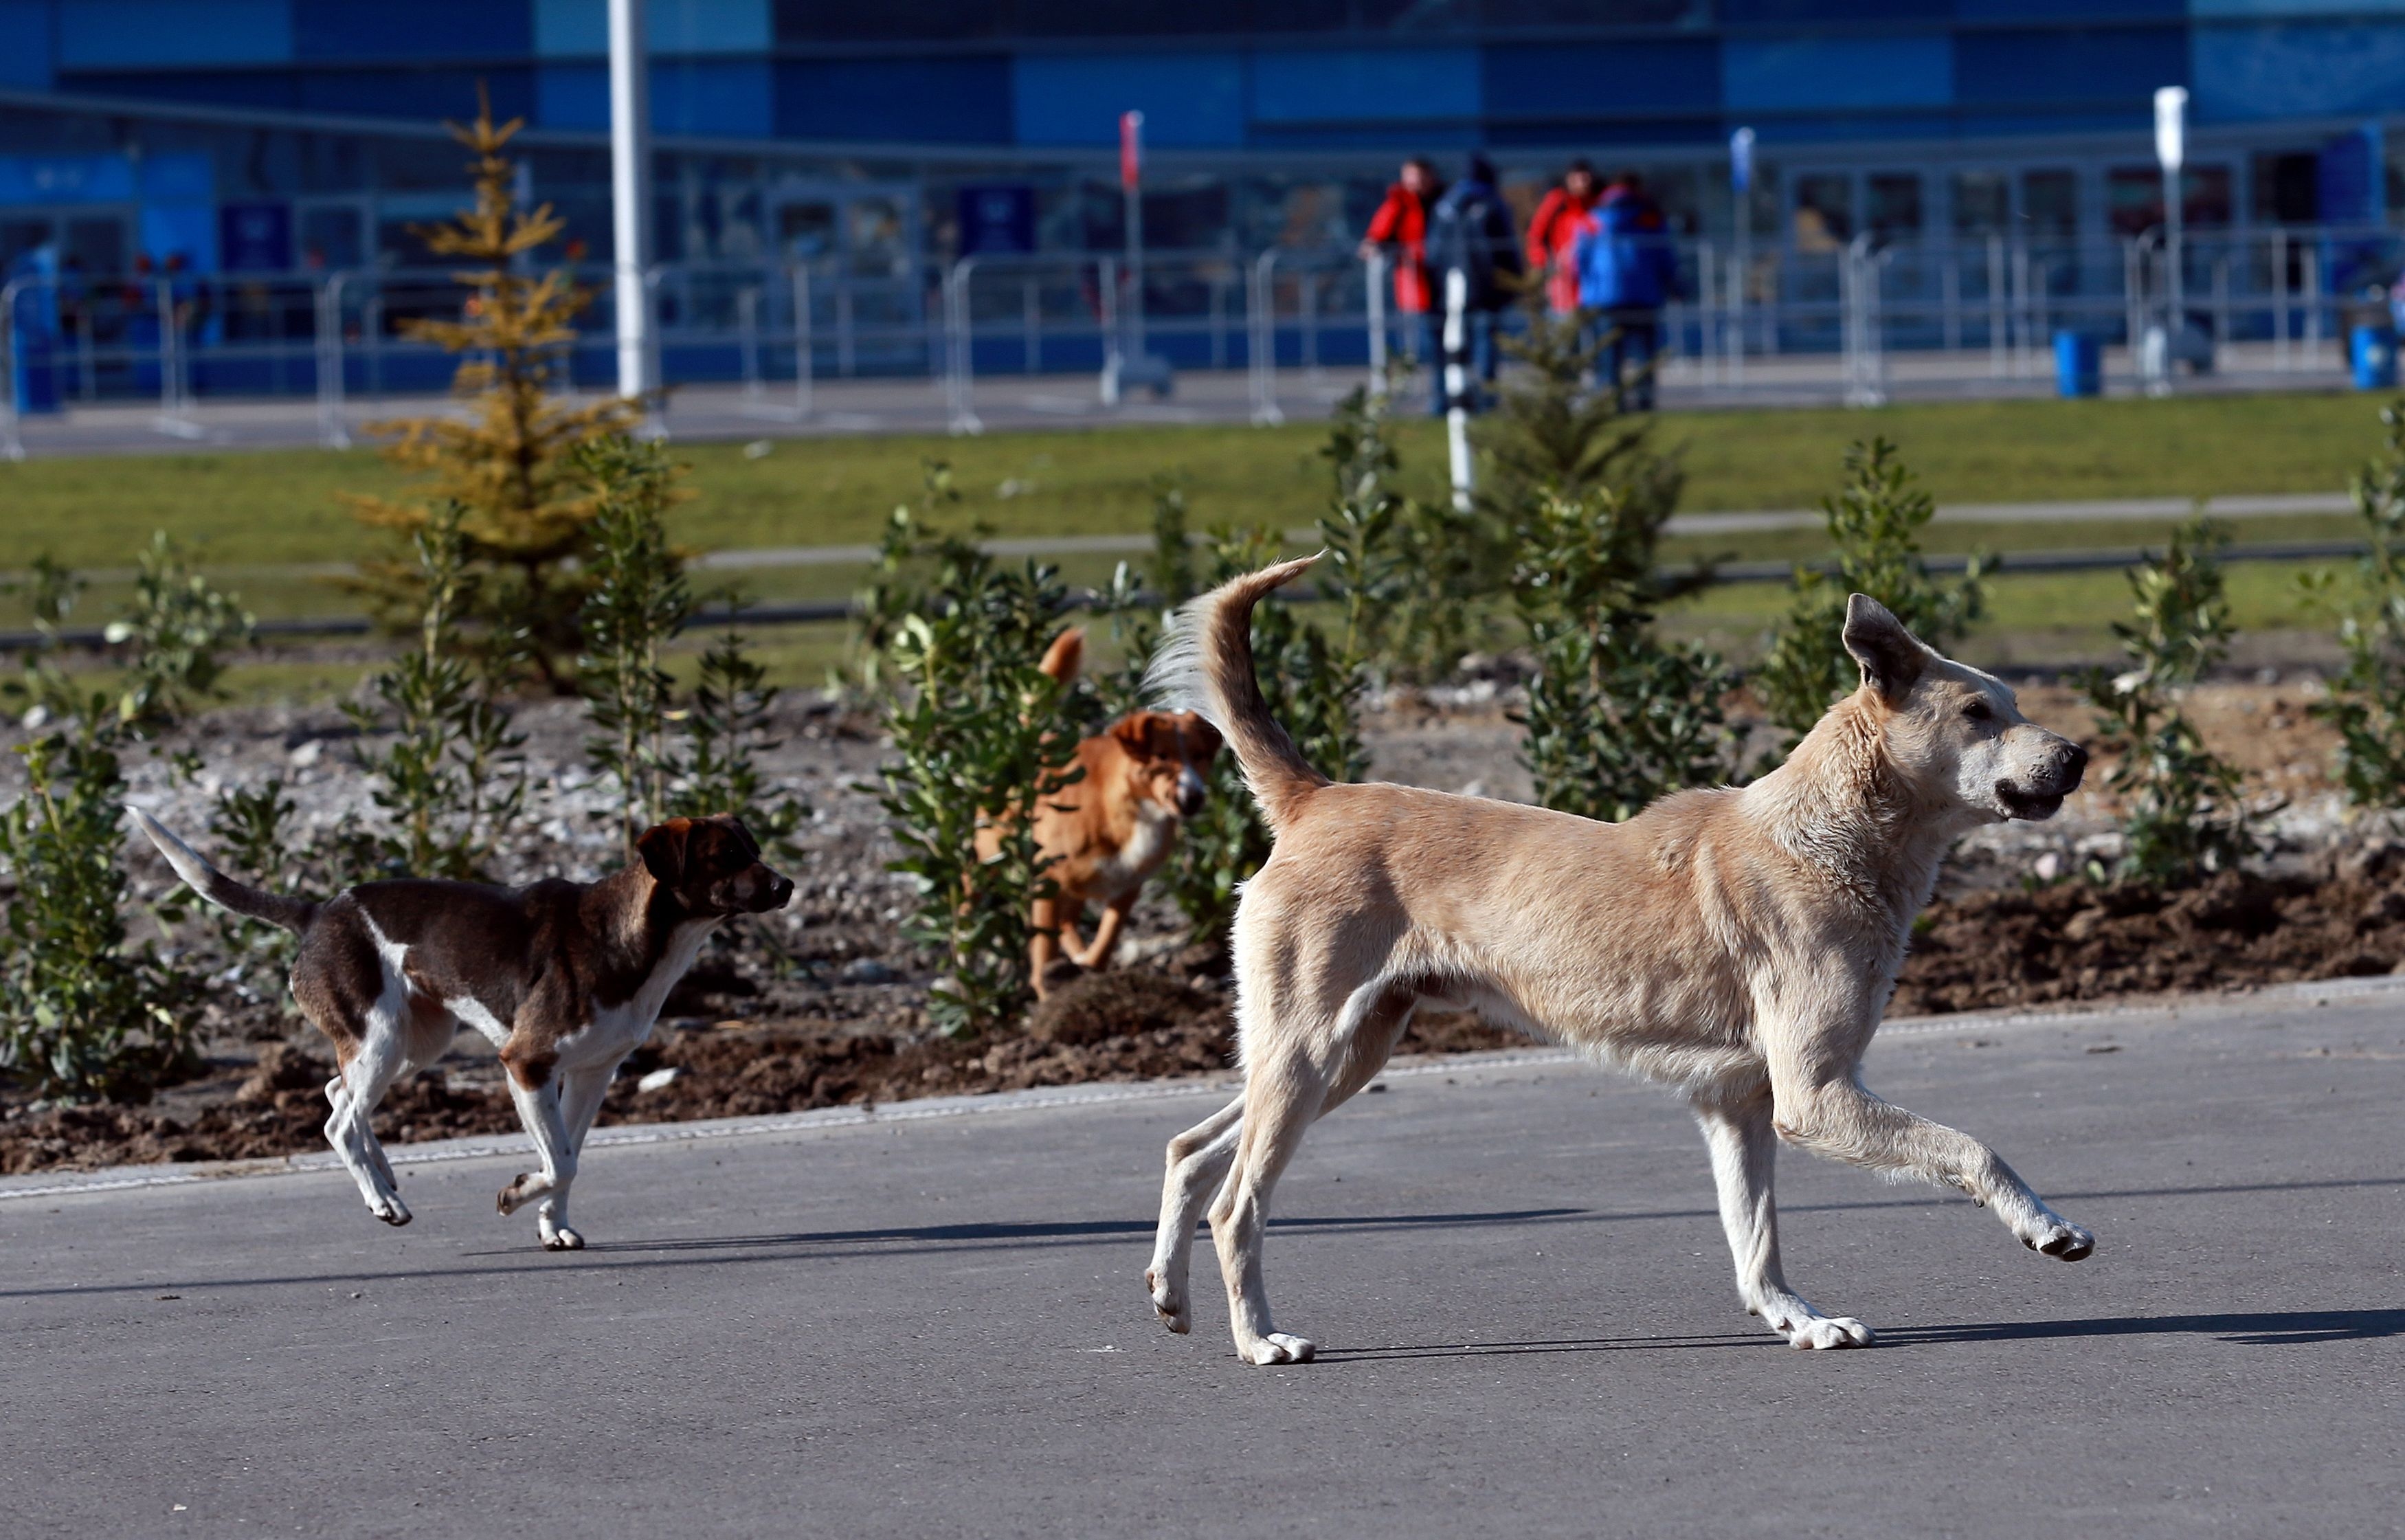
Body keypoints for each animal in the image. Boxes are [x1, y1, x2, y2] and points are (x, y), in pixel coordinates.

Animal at [129, 808, 789, 1251]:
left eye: (754, 847)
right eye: (726, 856)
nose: (787, 885)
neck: (632, 937)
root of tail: (317, 913)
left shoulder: (591, 1073)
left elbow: (570, 1156)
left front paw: (554, 1226)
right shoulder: (525, 1063)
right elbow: (559, 1162)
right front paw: (516, 1194)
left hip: (414, 1042)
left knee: (339, 1094)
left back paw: (386, 1179)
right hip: (383, 1039)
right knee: (339, 1121)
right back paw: (382, 1200)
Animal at [1010, 630, 1222, 1001]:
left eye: (1200, 756)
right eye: (1161, 756)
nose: (1192, 798)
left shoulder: (1128, 887)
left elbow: (1105, 942)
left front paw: (1087, 969)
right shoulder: (1049, 881)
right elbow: (1044, 948)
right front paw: (1048, 988)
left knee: (1068, 923)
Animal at [1135, 558, 2097, 1366]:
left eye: (2012, 704)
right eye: (1976, 713)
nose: (2078, 756)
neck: (1830, 839)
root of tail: (1314, 797)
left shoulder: (1741, 1107)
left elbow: (1756, 1242)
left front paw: (1796, 1319)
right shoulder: (1813, 1096)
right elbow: (1971, 1150)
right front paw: (2043, 1225)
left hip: (1336, 1054)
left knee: (1190, 1150)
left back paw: (1171, 1295)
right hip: (1310, 1054)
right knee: (1236, 1205)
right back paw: (1257, 1340)